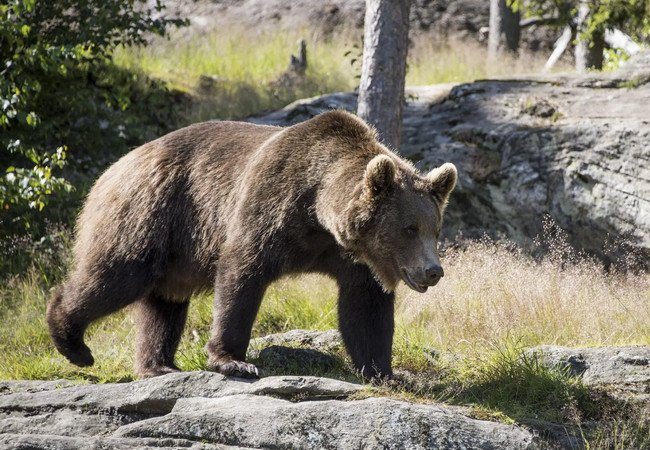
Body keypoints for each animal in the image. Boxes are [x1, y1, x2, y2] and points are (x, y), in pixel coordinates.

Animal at [46, 110, 456, 380]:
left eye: (435, 229)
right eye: (409, 228)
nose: (433, 271)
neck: (318, 213)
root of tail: (115, 167)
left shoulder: (352, 257)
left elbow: (365, 308)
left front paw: (385, 371)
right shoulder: (270, 206)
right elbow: (242, 274)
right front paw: (234, 360)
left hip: (174, 251)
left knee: (164, 303)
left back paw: (158, 364)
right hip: (150, 214)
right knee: (117, 275)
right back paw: (73, 342)